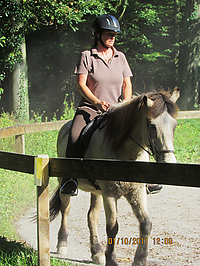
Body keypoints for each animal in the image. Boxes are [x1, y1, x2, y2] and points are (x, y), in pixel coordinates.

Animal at [49, 88, 180, 266]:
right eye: (152, 126)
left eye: (175, 125)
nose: (169, 164)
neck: (126, 153)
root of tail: (64, 128)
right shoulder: (110, 194)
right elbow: (112, 227)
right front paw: (111, 260)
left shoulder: (137, 192)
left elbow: (146, 223)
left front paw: (140, 260)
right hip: (66, 184)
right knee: (66, 210)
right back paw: (62, 244)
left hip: (96, 192)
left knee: (92, 217)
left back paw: (96, 252)